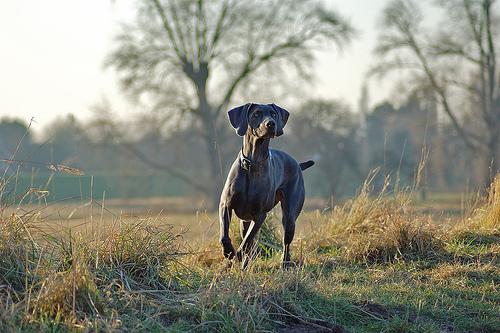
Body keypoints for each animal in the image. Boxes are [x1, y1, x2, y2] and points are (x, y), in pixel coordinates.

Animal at [218, 102, 312, 268]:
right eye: (256, 113)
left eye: (273, 114)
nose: (271, 124)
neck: (252, 164)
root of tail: (297, 164)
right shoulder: (225, 205)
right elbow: (225, 234)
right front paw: (228, 251)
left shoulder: (260, 215)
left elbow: (247, 242)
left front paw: (238, 254)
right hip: (244, 221)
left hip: (289, 217)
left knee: (286, 242)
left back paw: (284, 264)